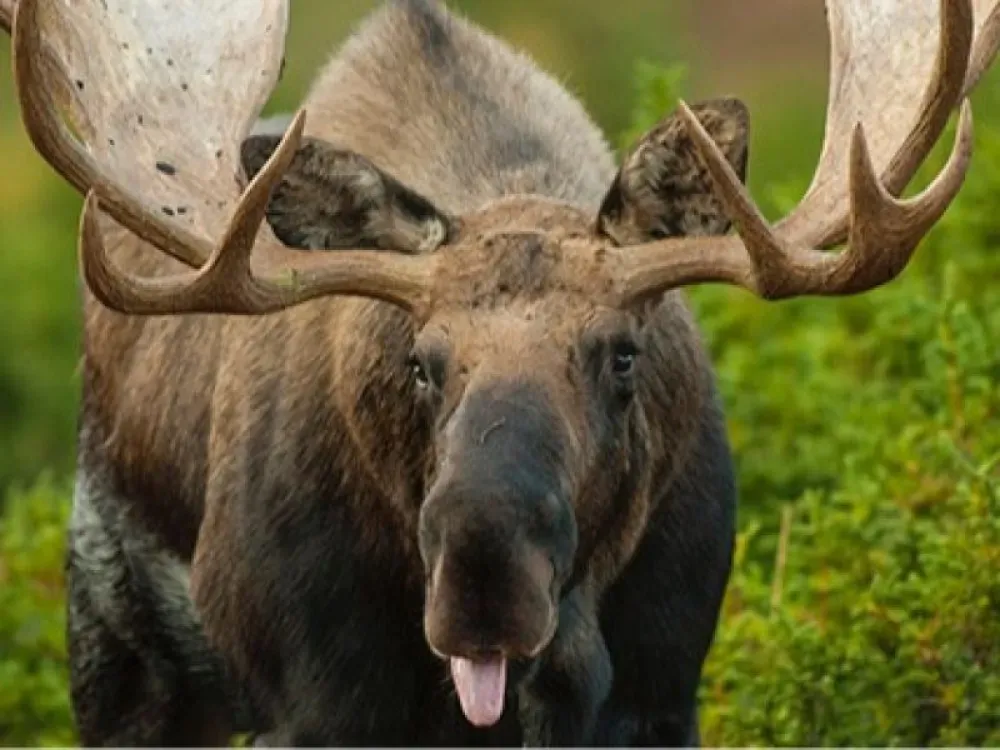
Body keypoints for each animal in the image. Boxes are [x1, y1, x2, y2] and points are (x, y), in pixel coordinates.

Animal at [2, 0, 999, 745]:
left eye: (622, 352)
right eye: (420, 362)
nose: (484, 571)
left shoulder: (662, 691)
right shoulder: (315, 703)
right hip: (117, 649)